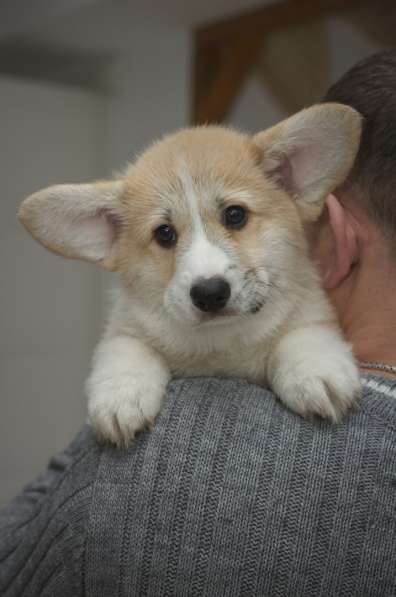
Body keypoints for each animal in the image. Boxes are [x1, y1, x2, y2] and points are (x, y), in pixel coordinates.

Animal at [20, 105, 362, 444]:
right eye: (164, 234)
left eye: (235, 215)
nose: (210, 293)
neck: (221, 344)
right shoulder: (123, 329)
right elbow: (125, 351)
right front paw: (122, 396)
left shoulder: (311, 311)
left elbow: (303, 335)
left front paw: (314, 372)